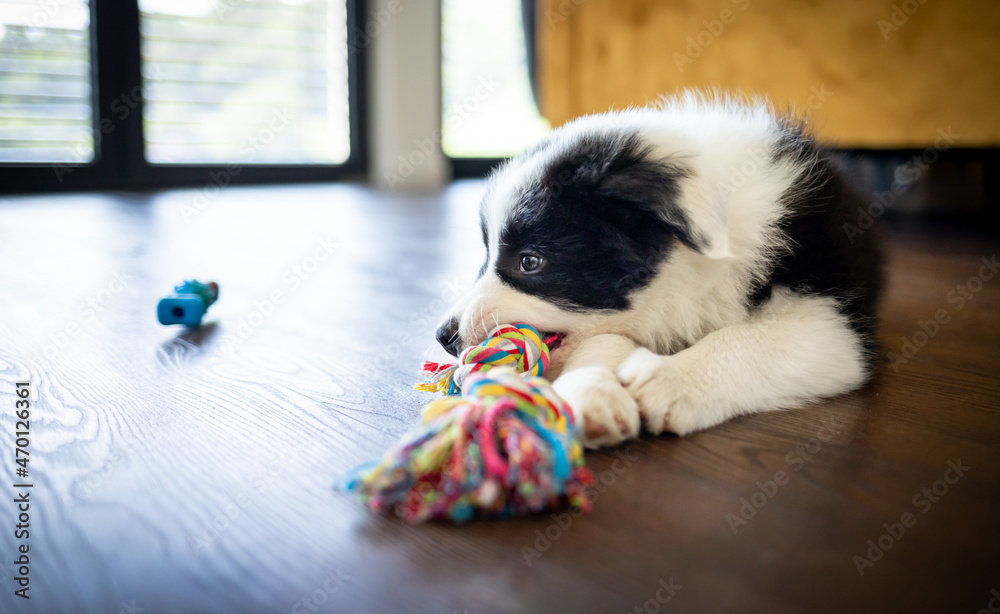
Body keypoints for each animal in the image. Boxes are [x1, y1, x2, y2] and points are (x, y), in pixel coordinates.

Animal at [434, 92, 880, 448]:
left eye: (530, 261)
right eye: (486, 253)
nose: (444, 336)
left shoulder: (832, 325)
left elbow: (745, 339)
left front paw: (669, 380)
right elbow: (604, 341)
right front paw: (592, 392)